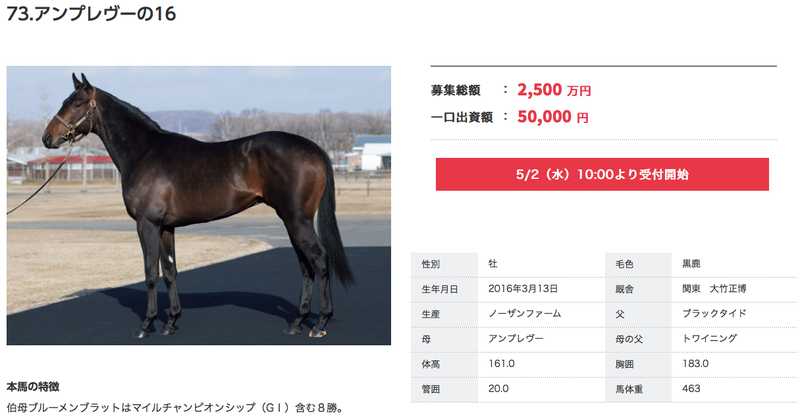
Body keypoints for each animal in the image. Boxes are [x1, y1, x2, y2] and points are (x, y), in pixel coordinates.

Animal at [41, 73, 355, 339]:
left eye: (77, 103)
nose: (47, 137)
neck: (144, 152)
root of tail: (315, 149)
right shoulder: (166, 227)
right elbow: (170, 271)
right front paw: (170, 322)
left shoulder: (147, 224)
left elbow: (150, 272)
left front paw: (146, 324)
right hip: (292, 221)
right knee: (305, 266)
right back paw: (297, 322)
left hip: (297, 220)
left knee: (319, 259)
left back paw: (320, 323)